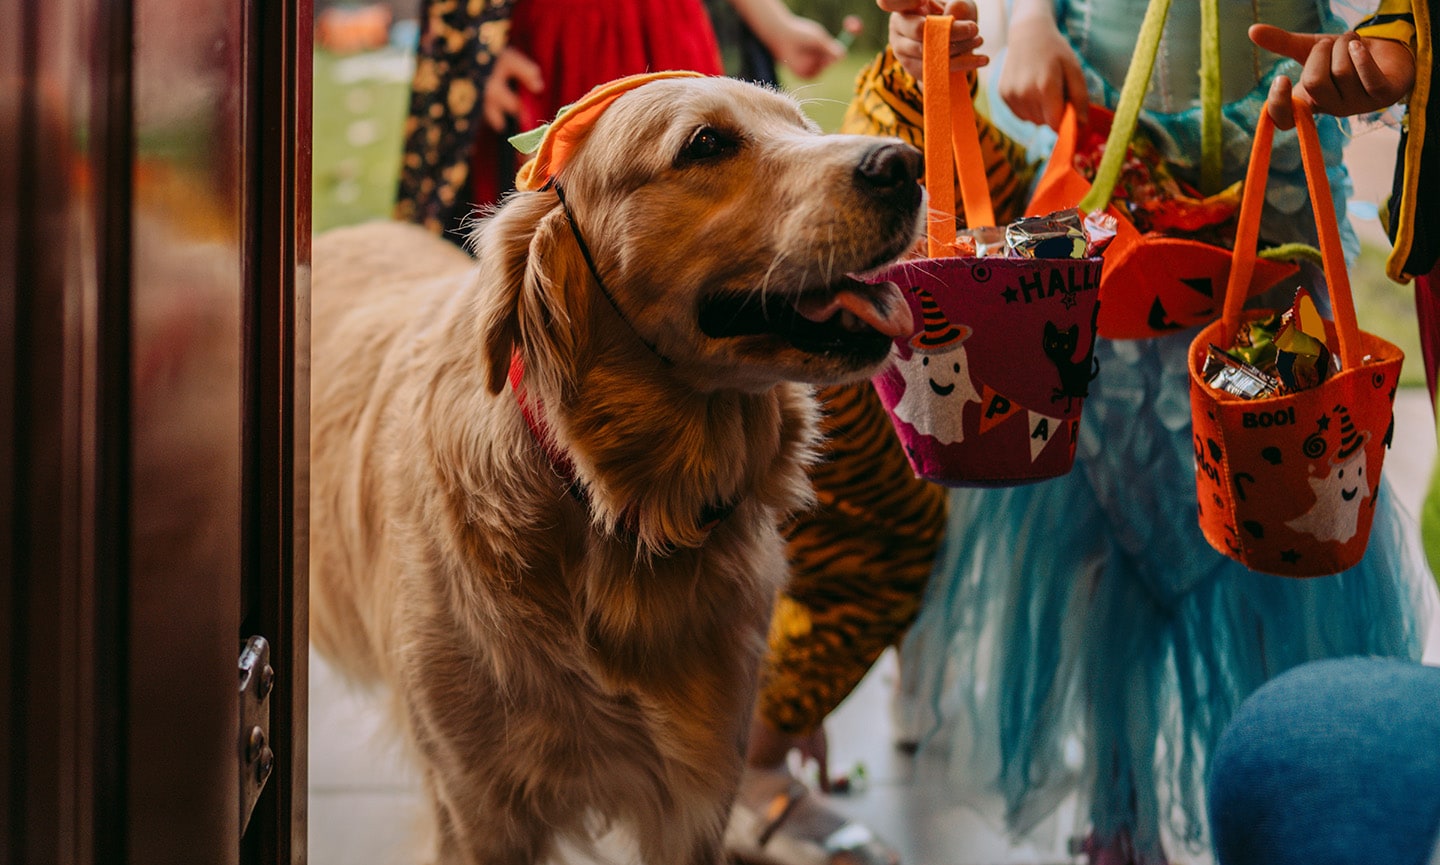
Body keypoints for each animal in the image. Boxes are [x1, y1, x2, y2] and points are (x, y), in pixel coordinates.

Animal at [309, 75, 921, 863]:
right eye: (705, 143)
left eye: (803, 128)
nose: (906, 165)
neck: (620, 501)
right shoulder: (477, 807)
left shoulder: (700, 792)